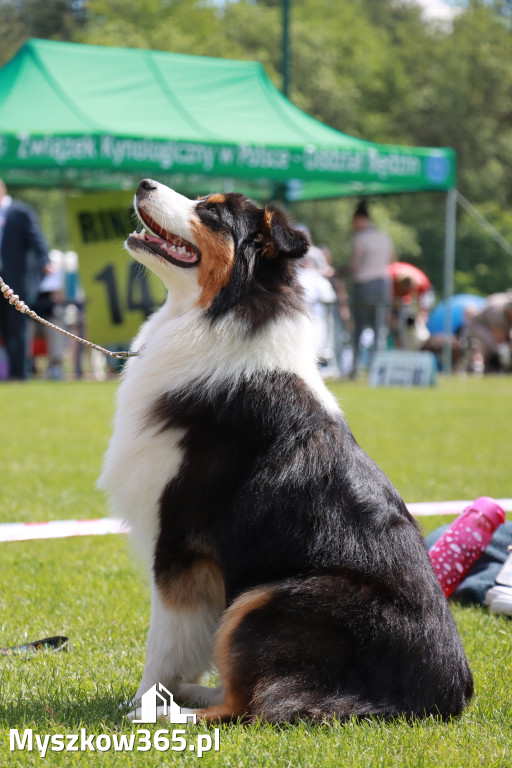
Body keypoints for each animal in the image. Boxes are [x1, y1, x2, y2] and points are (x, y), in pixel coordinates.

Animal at [99, 180, 472, 728]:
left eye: (211, 212)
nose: (144, 183)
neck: (220, 315)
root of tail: (444, 696)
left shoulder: (180, 541)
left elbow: (163, 642)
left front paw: (144, 703)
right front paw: (158, 695)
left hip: (269, 599)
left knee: (250, 705)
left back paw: (176, 712)